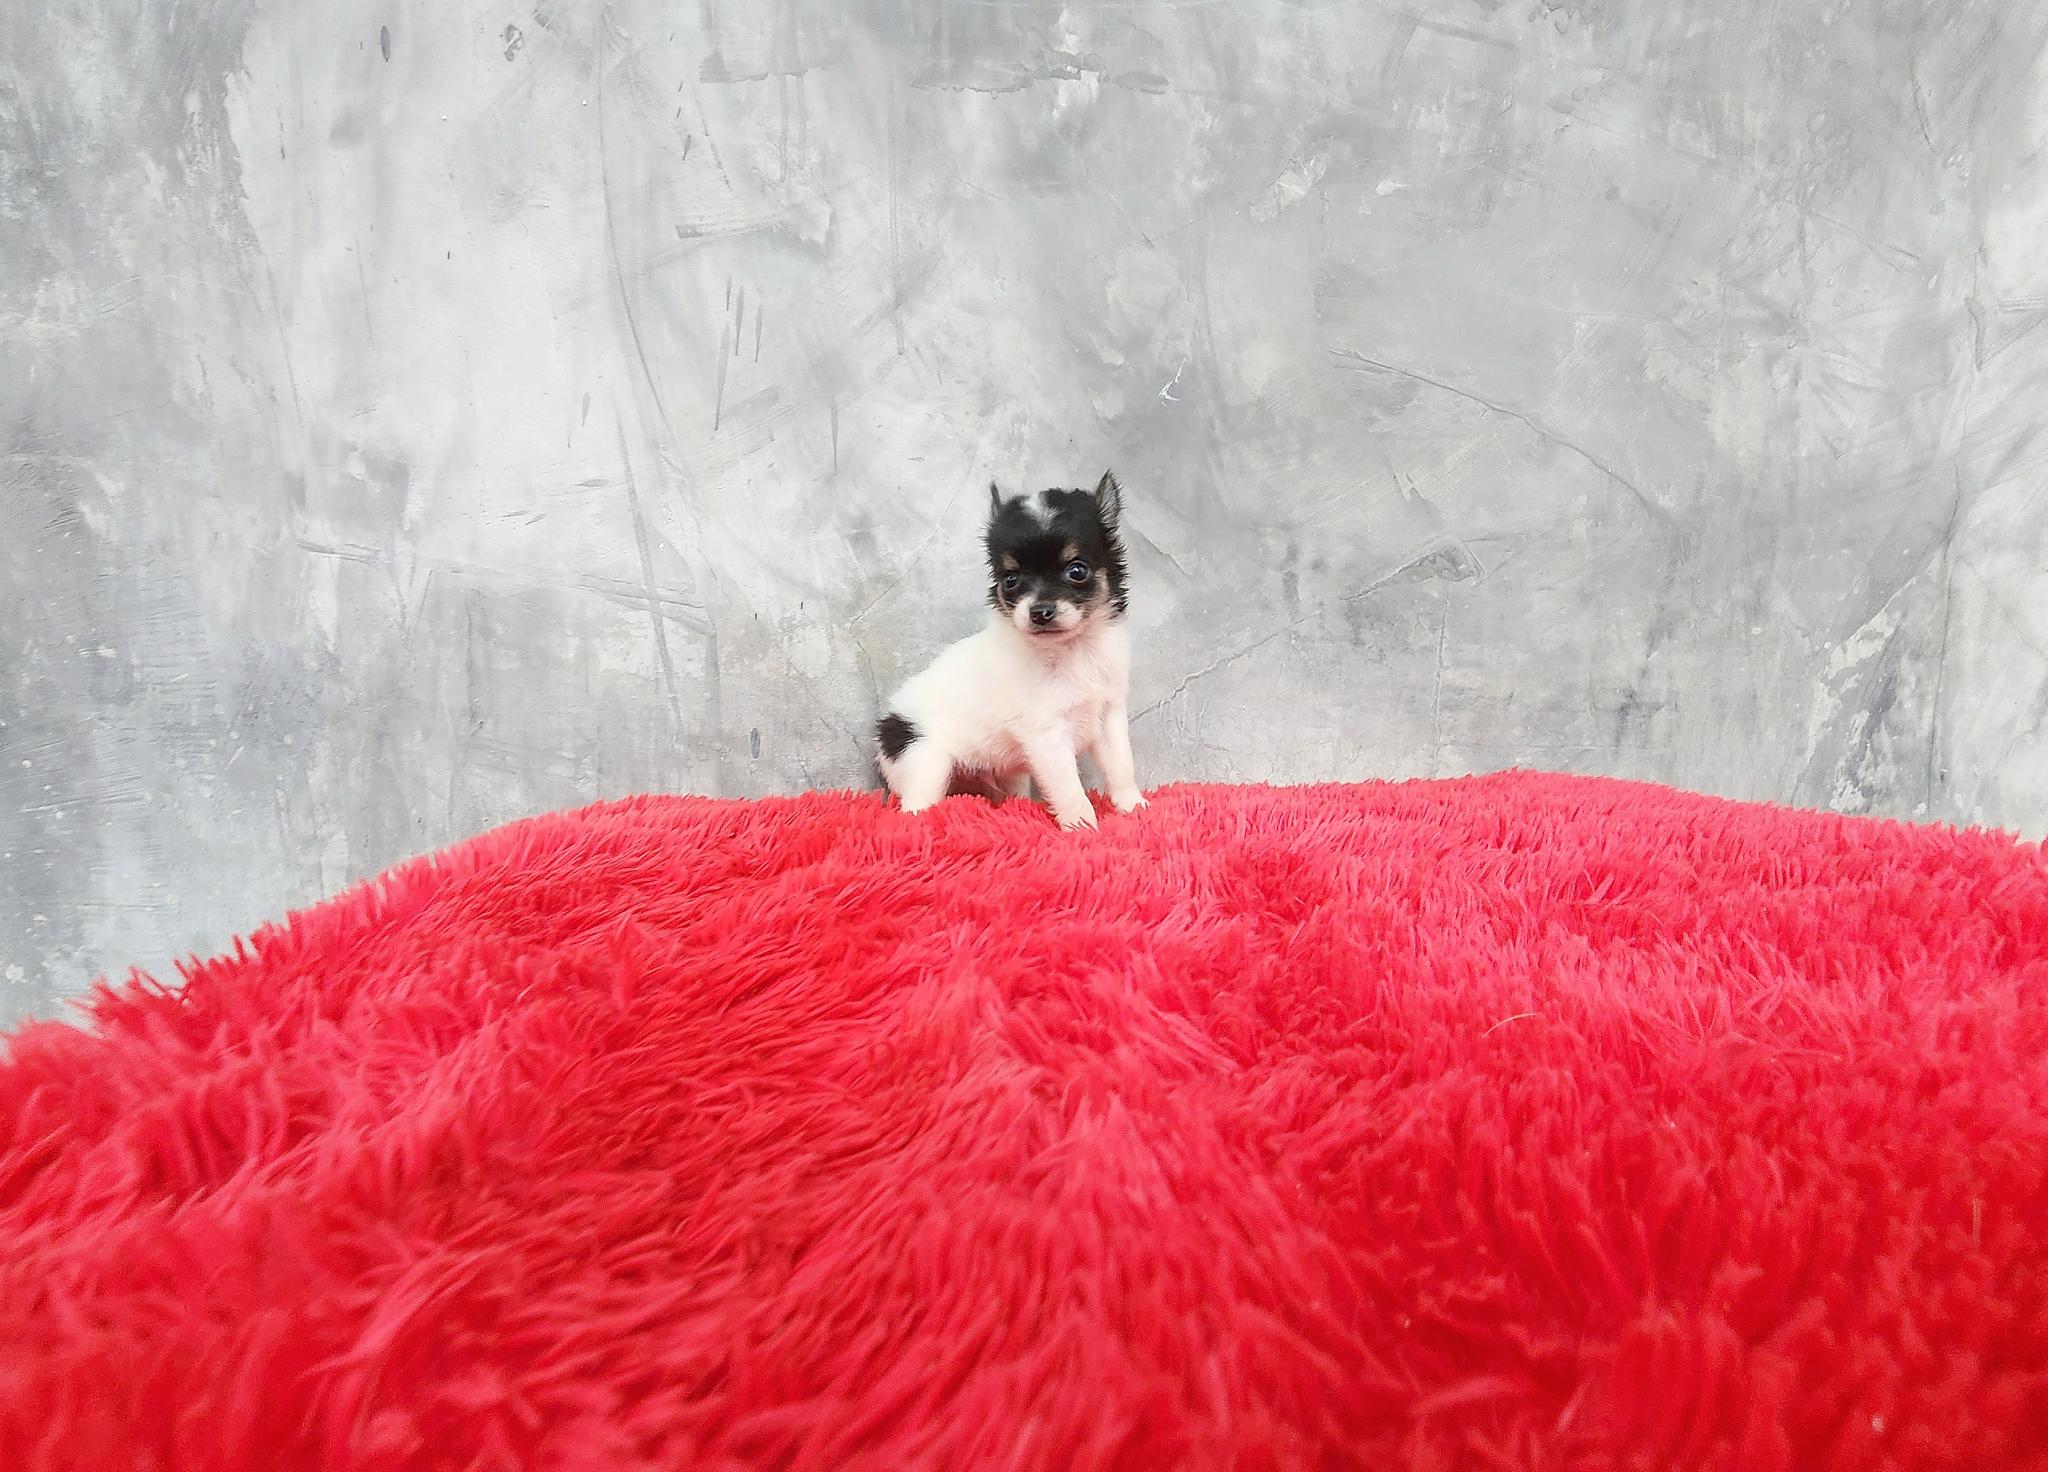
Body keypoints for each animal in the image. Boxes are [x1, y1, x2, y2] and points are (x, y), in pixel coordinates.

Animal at [875, 471, 1145, 830]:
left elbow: (1121, 765)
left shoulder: (1108, 714)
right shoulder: (1047, 735)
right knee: (915, 803)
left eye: (1077, 571)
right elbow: (1069, 786)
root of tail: (885, 729)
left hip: (1006, 771)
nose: (1040, 612)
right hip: (924, 759)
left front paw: (1133, 806)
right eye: (1011, 580)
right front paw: (1082, 825)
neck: (1072, 648)